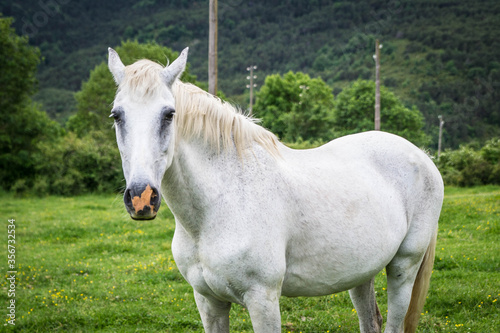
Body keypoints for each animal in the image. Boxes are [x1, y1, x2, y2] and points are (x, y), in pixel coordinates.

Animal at [107, 47, 444, 332]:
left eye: (169, 114)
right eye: (117, 115)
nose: (141, 199)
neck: (218, 206)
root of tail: (422, 156)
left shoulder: (263, 300)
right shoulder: (209, 301)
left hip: (403, 267)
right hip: (362, 271)